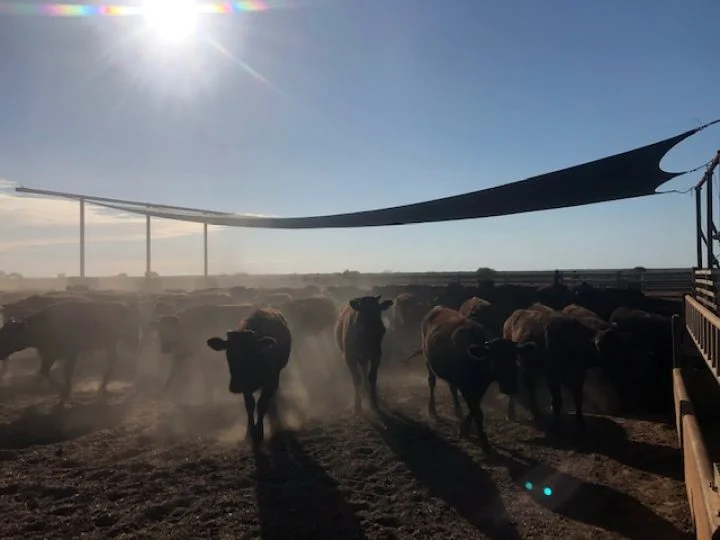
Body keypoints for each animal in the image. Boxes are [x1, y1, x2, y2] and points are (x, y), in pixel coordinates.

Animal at [0, 300, 141, 401]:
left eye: (10, 334)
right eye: (3, 331)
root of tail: (128, 308)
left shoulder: (72, 353)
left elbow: (67, 371)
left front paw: (65, 391)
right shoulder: (49, 355)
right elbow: (44, 371)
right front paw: (60, 390)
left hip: (129, 340)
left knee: (133, 357)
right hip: (110, 345)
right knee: (113, 362)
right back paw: (103, 387)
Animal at [206, 307, 292, 446]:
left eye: (249, 352)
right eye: (228, 351)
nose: (235, 386)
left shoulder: (271, 380)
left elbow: (262, 403)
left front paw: (259, 432)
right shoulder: (245, 387)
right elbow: (250, 405)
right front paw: (249, 432)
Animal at [407, 306, 534, 450]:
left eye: (515, 358)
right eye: (494, 359)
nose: (510, 387)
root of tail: (437, 308)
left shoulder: (480, 386)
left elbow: (475, 409)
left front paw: (464, 428)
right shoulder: (466, 387)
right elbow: (477, 412)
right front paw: (484, 442)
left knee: (452, 389)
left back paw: (458, 411)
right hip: (427, 361)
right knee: (432, 383)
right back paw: (432, 410)